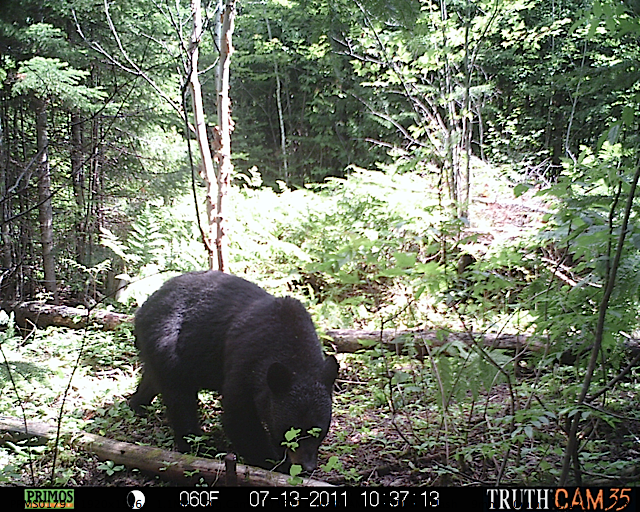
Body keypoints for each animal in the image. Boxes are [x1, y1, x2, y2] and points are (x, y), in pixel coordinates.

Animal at [130, 272, 340, 472]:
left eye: (319, 431)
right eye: (292, 431)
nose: (307, 465)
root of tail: (144, 307)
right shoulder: (247, 364)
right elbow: (239, 418)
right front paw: (275, 463)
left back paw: (138, 403)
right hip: (169, 345)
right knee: (180, 399)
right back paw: (195, 445)